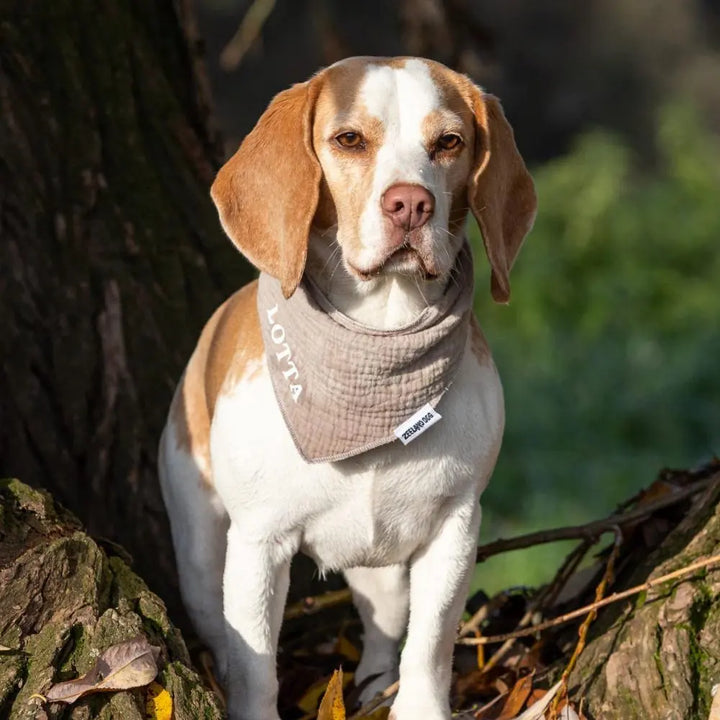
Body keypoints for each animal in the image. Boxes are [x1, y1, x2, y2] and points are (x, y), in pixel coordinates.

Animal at [160, 56, 536, 720]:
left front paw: (419, 708)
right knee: (219, 627)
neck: (375, 353)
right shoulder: (258, 543)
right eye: (350, 140)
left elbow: (430, 644)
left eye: (449, 142)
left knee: (385, 631)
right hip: (201, 551)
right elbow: (254, 662)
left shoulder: (454, 527)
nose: (410, 204)